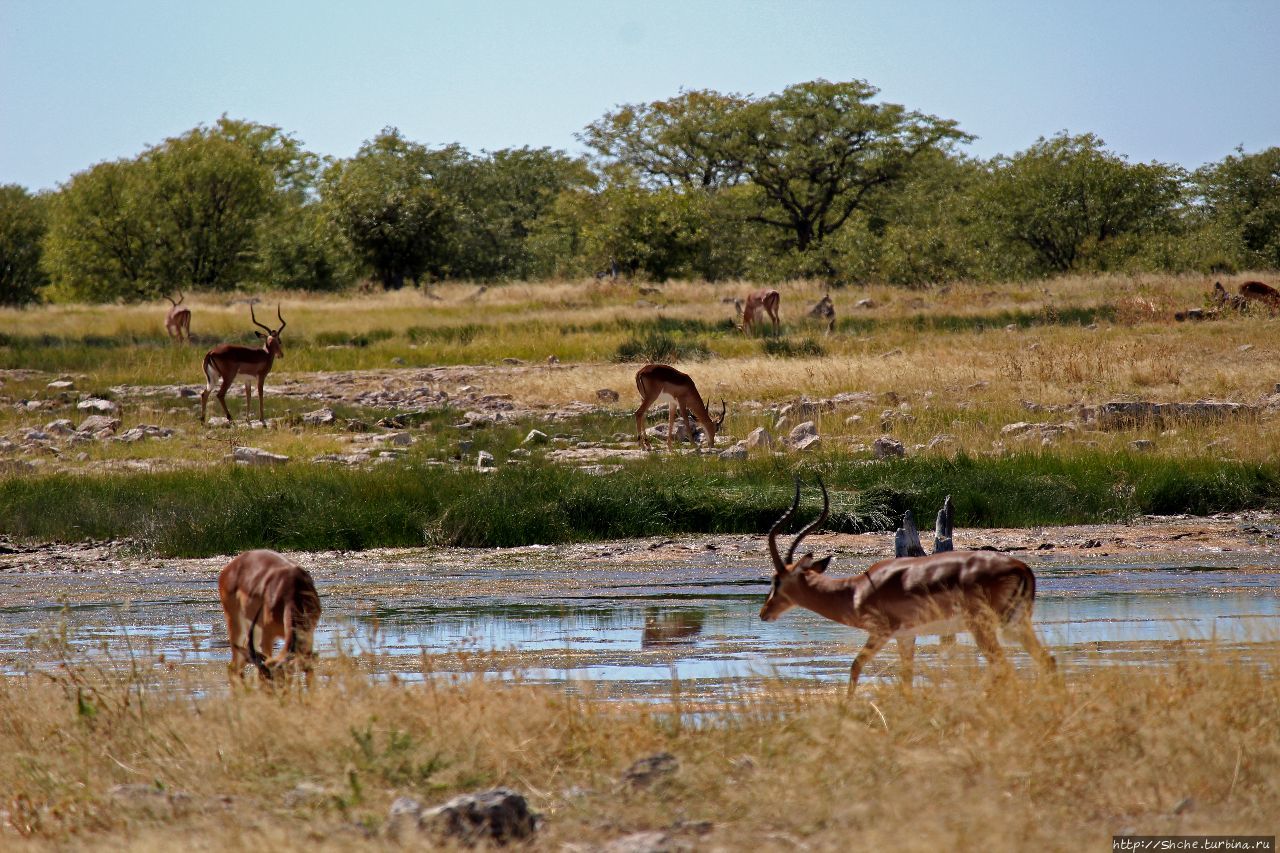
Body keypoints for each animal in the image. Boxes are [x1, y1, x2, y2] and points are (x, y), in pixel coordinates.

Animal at [218, 550, 322, 686]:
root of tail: (229, 568)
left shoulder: (308, 633)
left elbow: (308, 670)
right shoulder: (267, 635)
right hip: (236, 622)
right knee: (233, 667)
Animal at [762, 473, 1054, 696]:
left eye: (777, 580)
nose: (764, 612)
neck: (855, 590)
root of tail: (1021, 567)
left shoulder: (882, 632)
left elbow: (855, 666)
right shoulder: (906, 636)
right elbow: (906, 677)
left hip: (985, 627)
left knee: (1005, 667)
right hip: (1015, 625)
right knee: (1046, 660)